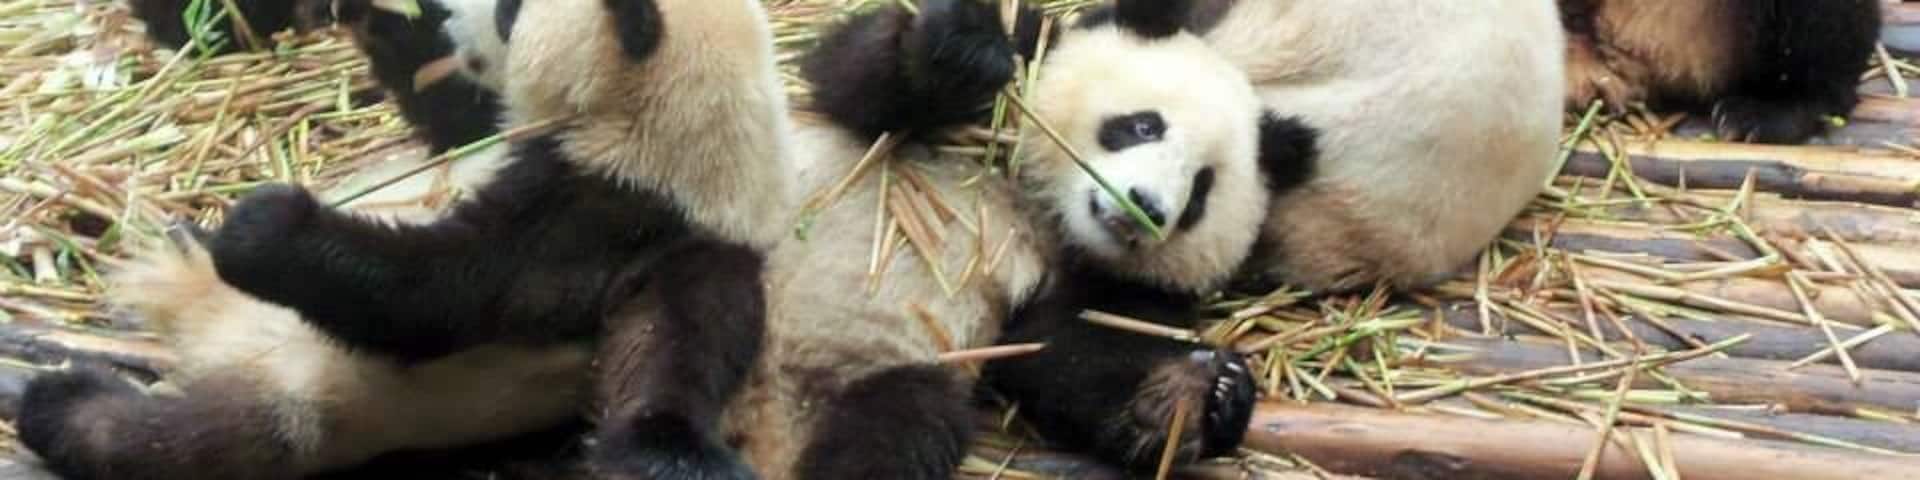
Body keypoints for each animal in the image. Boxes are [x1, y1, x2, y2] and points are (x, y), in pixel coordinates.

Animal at [17, 0, 793, 478]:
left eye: (512, 11)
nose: (453, 14)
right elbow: (454, 123)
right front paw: (384, 18)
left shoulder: (593, 221)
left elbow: (431, 295)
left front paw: (260, 227)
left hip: (303, 393)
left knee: (175, 436)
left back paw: (59, 397)